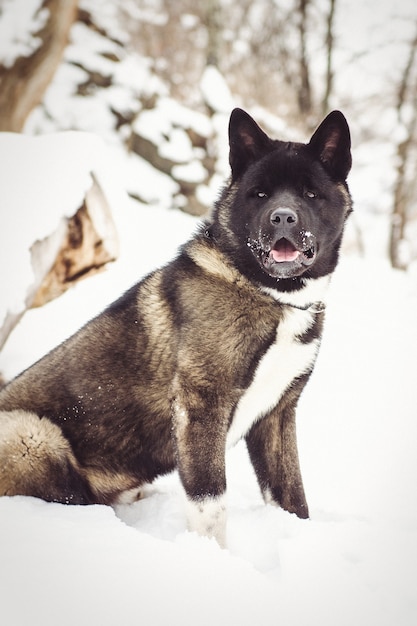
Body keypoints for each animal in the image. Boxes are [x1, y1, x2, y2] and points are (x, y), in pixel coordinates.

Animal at [0, 108, 352, 544]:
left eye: (309, 194)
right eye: (260, 194)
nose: (283, 217)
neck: (270, 294)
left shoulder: (276, 415)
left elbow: (292, 497)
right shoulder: (201, 405)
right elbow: (210, 503)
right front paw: (211, 555)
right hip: (33, 434)